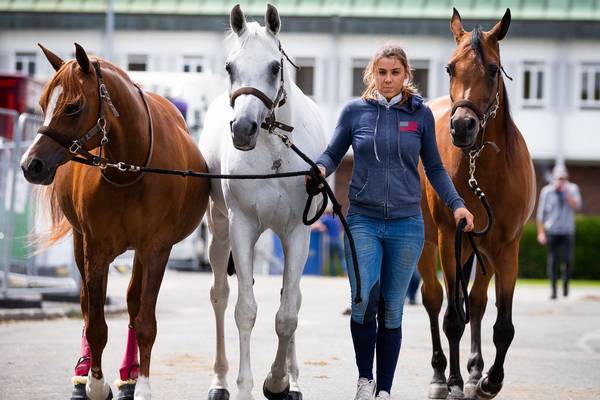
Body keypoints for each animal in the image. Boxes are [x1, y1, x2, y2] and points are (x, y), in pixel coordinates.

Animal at [19, 43, 209, 400]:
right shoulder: (96, 248)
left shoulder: (156, 249)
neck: (130, 169)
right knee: (85, 304)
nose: (30, 164)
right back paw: (83, 373)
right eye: (42, 103)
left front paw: (142, 384)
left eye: (73, 106)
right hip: (80, 241)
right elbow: (95, 322)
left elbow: (145, 319)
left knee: (134, 303)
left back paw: (129, 376)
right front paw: (94, 383)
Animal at [199, 3, 326, 400]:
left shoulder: (298, 232)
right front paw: (246, 387)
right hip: (220, 231)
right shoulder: (241, 226)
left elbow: (288, 313)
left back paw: (294, 380)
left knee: (292, 297)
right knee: (220, 295)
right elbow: (245, 310)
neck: (274, 153)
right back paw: (219, 381)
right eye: (229, 67)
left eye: (274, 67)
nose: (242, 129)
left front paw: (280, 381)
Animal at [420, 9, 536, 400]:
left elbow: (503, 324)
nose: (462, 127)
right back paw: (441, 374)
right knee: (434, 298)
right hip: (430, 244)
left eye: (493, 69)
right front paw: (454, 382)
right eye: (450, 68)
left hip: (479, 249)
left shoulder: (508, 248)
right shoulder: (448, 239)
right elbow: (453, 317)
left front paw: (488, 381)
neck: (481, 170)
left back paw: (473, 370)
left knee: (478, 302)